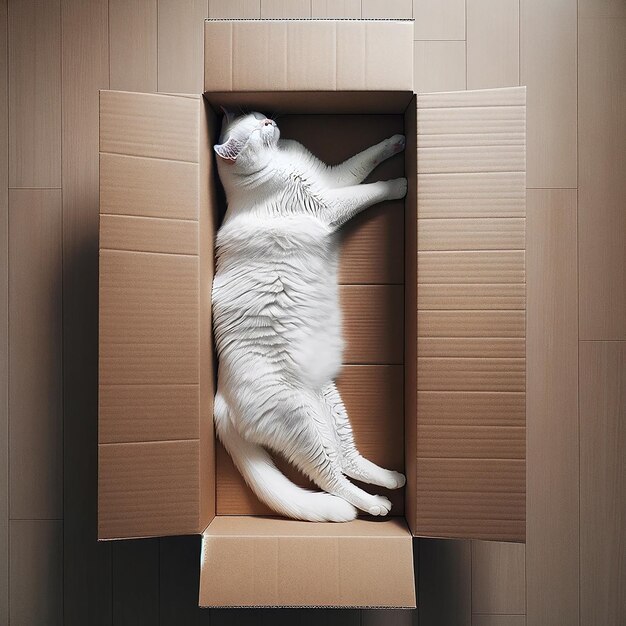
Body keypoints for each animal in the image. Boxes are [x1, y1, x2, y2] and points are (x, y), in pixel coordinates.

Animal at [211, 108, 404, 520]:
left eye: (259, 117)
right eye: (255, 130)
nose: (269, 121)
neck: (279, 159)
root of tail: (219, 399)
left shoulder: (332, 177)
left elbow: (365, 160)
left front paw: (397, 142)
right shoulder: (327, 201)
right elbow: (370, 190)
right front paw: (401, 183)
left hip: (329, 408)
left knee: (347, 459)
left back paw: (393, 478)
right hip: (303, 425)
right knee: (329, 478)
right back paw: (375, 506)